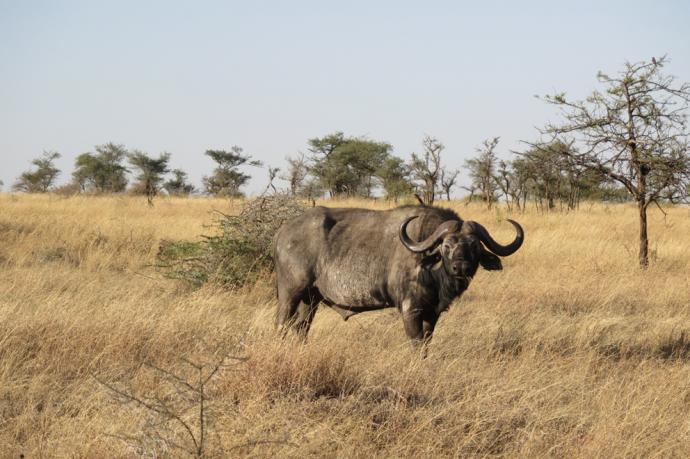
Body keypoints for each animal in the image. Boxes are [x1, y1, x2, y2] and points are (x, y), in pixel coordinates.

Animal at [272, 206, 520, 344]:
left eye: (474, 246)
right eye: (446, 246)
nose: (461, 267)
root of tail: (282, 232)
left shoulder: (432, 314)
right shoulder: (410, 310)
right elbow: (416, 344)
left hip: (310, 299)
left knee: (300, 329)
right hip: (290, 294)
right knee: (281, 325)